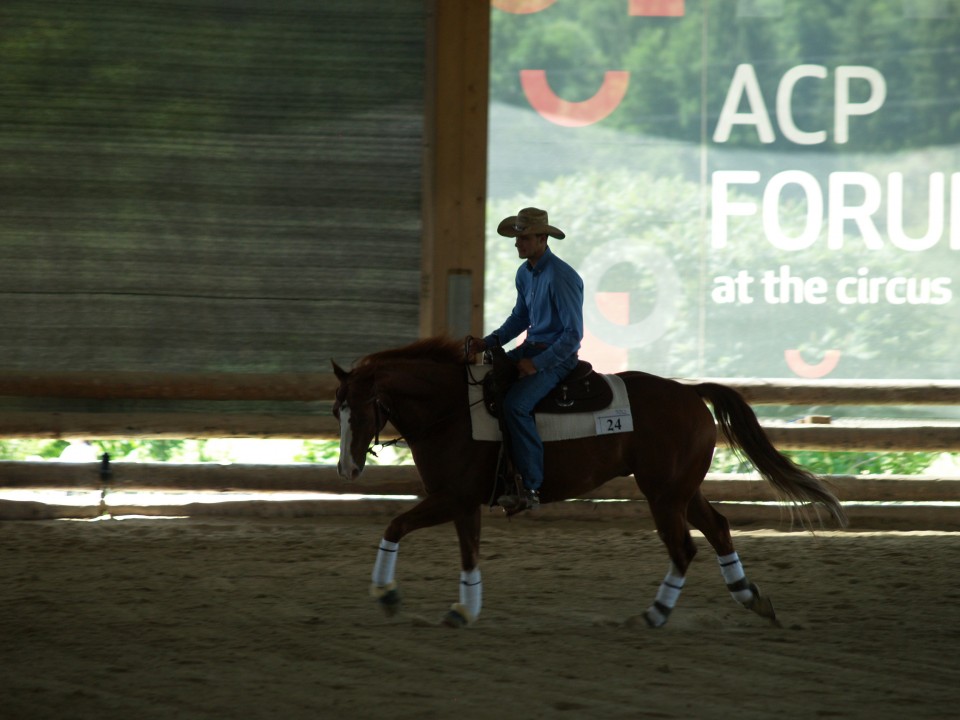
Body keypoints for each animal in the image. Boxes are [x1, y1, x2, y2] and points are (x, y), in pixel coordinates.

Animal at [332, 336, 848, 624]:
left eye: (361, 409)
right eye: (337, 411)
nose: (346, 470)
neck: (455, 409)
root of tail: (689, 393)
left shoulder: (452, 497)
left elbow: (398, 526)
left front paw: (388, 594)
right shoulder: (462, 502)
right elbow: (463, 551)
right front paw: (462, 609)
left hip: (663, 495)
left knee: (684, 548)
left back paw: (655, 614)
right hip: (681, 490)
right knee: (718, 528)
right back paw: (750, 597)